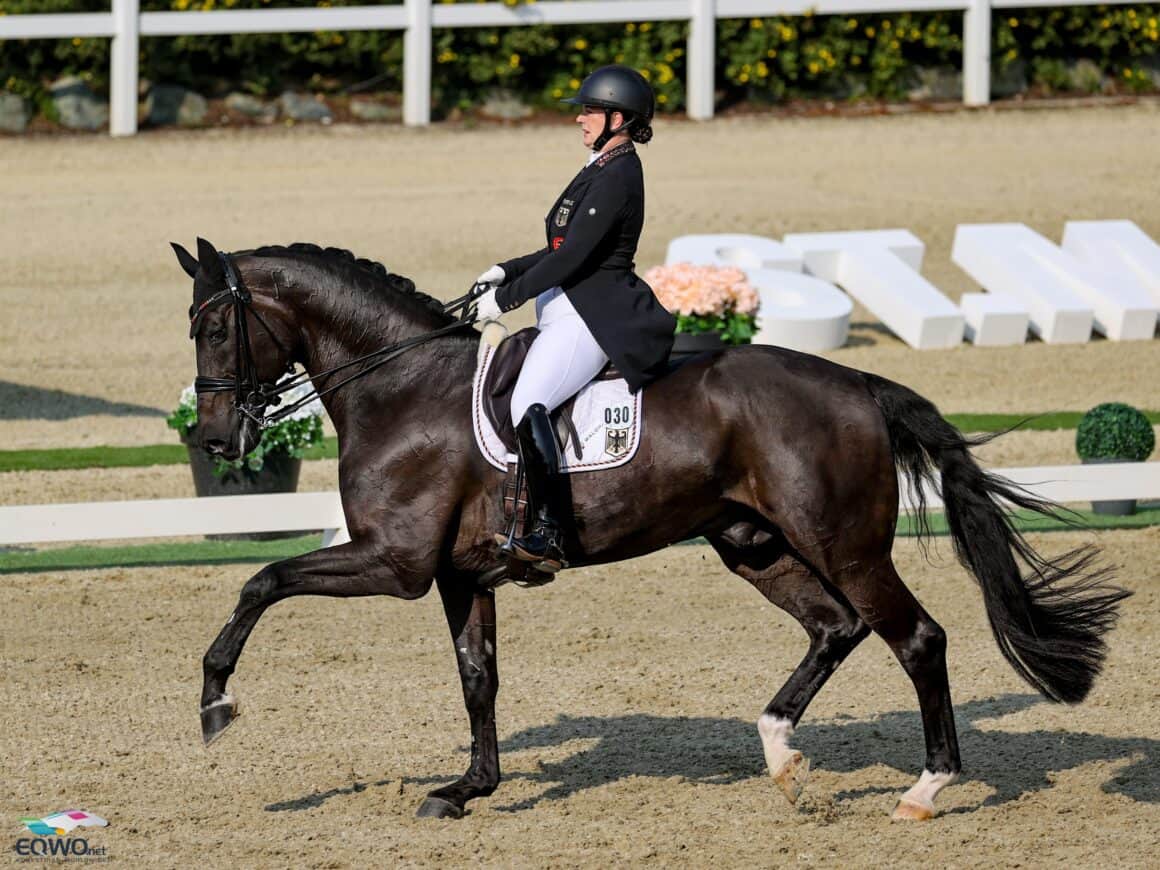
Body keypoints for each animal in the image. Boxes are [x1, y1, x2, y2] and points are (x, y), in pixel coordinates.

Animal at [176, 240, 1127, 825]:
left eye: (216, 325)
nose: (217, 441)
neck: (399, 385)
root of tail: (858, 383)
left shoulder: (395, 562)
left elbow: (261, 580)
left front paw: (216, 702)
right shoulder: (457, 576)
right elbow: (478, 679)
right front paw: (468, 789)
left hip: (844, 544)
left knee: (915, 636)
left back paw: (923, 791)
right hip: (755, 545)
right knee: (837, 627)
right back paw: (782, 758)